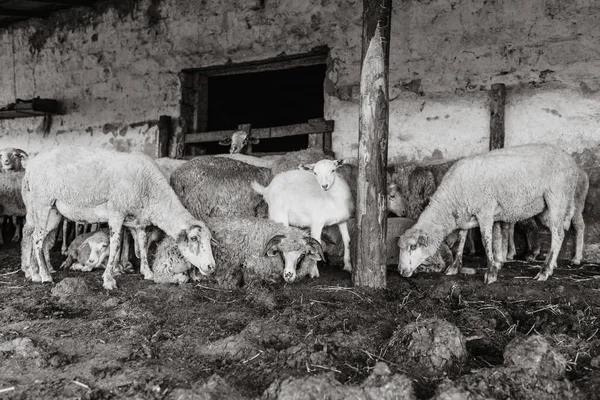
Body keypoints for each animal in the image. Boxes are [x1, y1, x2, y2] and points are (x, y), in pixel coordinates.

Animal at [21, 145, 218, 290]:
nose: (211, 267)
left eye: (209, 239)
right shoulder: (116, 213)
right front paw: (109, 279)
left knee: (35, 236)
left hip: (52, 211)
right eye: (194, 238)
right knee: (36, 238)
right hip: (41, 202)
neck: (150, 189)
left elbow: (142, 244)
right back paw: (44, 275)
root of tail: (31, 165)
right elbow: (115, 245)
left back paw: (34, 272)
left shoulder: (138, 220)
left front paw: (147, 272)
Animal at [152, 217, 326, 286]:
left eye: (302, 255)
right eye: (282, 253)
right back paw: (182, 278)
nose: (289, 275)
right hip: (180, 261)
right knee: (159, 276)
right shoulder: (251, 264)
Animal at [398, 144, 584, 284]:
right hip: (548, 207)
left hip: (557, 196)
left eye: (413, 247)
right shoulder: (465, 214)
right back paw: (552, 266)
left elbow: (486, 240)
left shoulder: (485, 211)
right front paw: (454, 267)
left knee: (558, 234)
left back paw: (545, 271)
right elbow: (461, 240)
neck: (451, 200)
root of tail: (571, 161)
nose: (401, 271)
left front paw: (491, 272)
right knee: (558, 231)